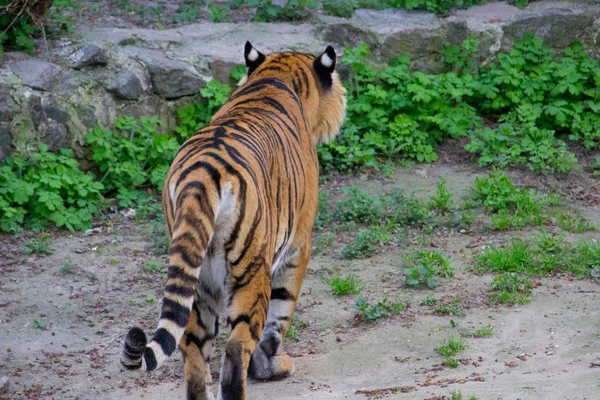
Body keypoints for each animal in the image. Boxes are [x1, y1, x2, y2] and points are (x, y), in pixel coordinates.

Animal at [120, 41, 346, 400]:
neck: (275, 76)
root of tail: (200, 176)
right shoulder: (298, 246)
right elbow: (280, 316)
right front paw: (272, 367)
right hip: (250, 271)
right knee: (237, 346)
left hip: (197, 280)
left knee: (193, 348)